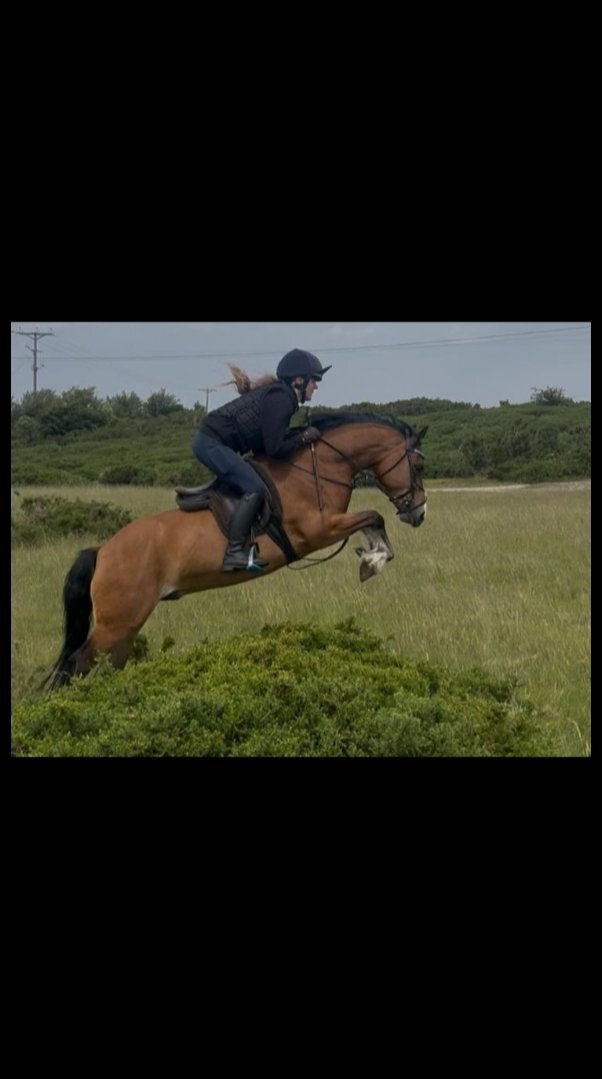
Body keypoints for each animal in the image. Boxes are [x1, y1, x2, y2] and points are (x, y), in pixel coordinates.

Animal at [44, 413, 428, 689]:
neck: (319, 467)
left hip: (124, 628)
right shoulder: (319, 530)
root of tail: (102, 551)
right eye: (419, 465)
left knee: (103, 665)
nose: (418, 513)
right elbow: (373, 515)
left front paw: (371, 559)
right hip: (117, 623)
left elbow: (373, 522)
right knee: (76, 664)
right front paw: (372, 561)